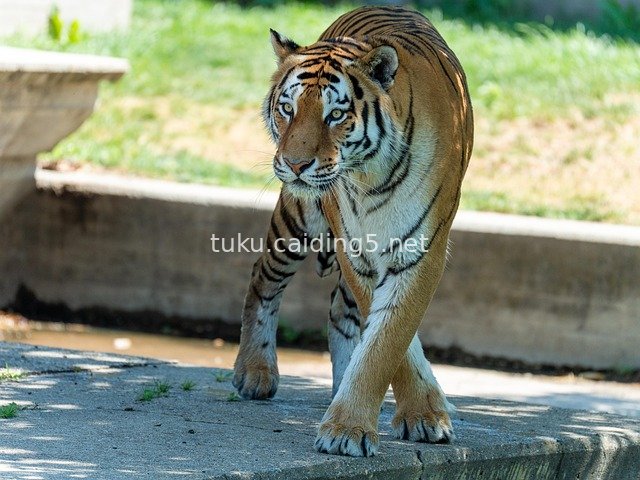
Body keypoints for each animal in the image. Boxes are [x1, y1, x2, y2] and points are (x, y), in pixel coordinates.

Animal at [232, 5, 473, 457]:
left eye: (336, 115)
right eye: (288, 109)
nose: (295, 164)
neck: (371, 177)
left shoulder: (420, 253)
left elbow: (385, 343)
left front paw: (359, 424)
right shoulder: (356, 252)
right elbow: (391, 345)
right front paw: (359, 427)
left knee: (339, 312)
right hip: (298, 219)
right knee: (263, 277)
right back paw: (254, 372)